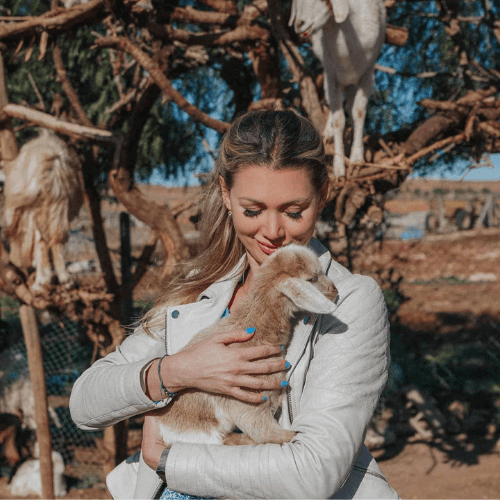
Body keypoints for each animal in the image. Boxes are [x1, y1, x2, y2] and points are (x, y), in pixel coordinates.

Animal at [3, 130, 83, 292]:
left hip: (37, 208)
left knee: (42, 241)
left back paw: (41, 282)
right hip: (57, 207)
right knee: (56, 239)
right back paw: (65, 281)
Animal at [153, 244, 340, 448]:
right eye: (312, 278)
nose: (335, 291)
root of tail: (164, 427)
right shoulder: (251, 399)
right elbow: (268, 433)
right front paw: (290, 436)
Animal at [290, 0, 386, 178]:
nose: (299, 24)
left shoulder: (367, 74)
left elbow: (358, 112)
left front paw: (357, 159)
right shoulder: (331, 76)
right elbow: (338, 120)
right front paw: (339, 168)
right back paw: (328, 132)